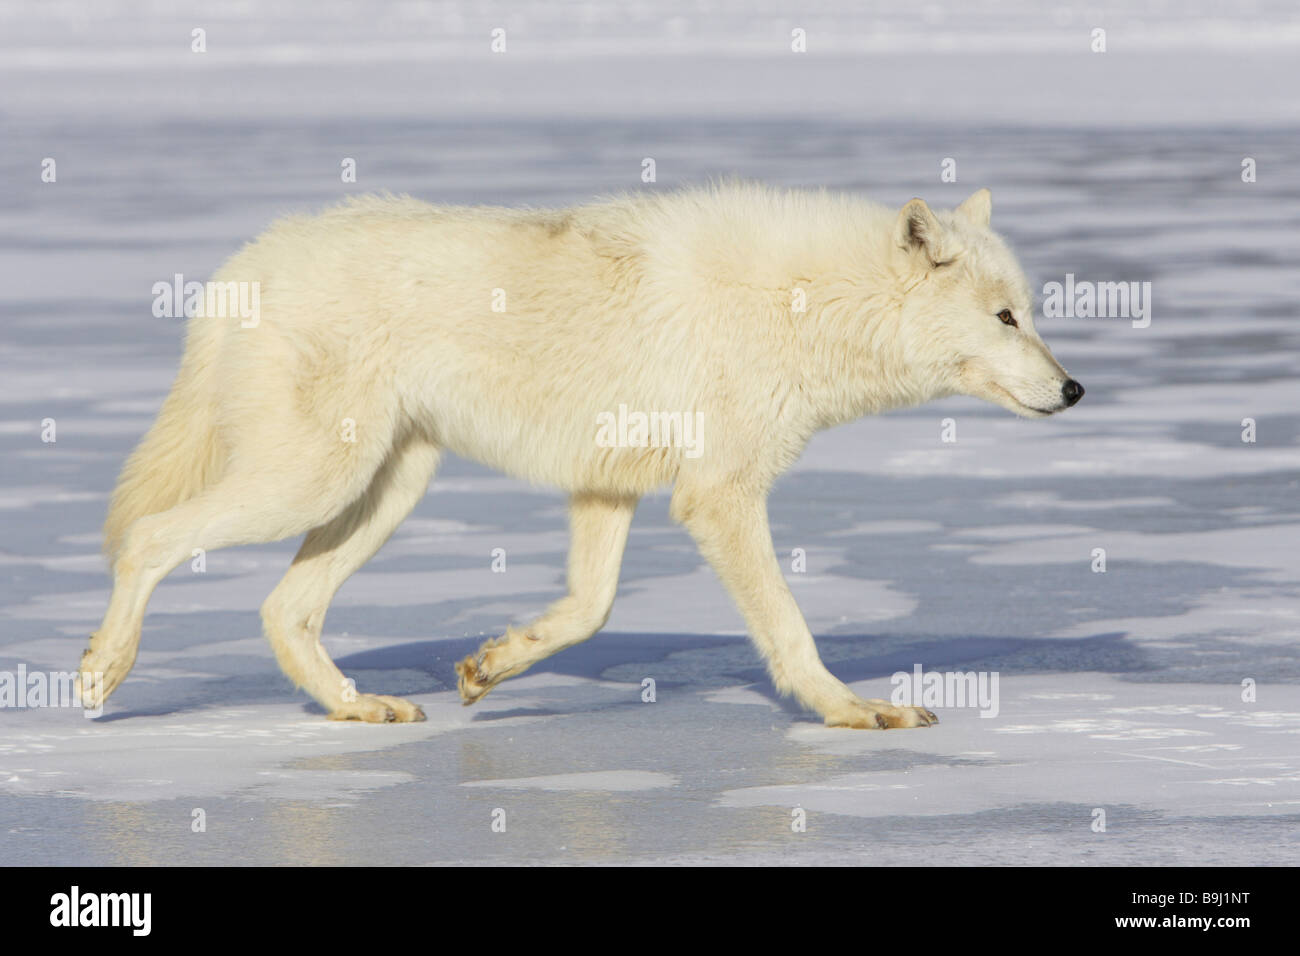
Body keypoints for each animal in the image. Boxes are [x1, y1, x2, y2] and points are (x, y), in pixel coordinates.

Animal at [80, 183, 1083, 729]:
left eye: (1032, 314)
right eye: (1005, 318)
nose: (1075, 390)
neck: (805, 301)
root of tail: (243, 261)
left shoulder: (610, 488)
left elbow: (588, 610)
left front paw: (493, 664)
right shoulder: (718, 497)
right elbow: (790, 630)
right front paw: (852, 710)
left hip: (386, 488)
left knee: (282, 609)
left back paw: (357, 707)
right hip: (313, 481)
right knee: (149, 540)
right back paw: (99, 671)